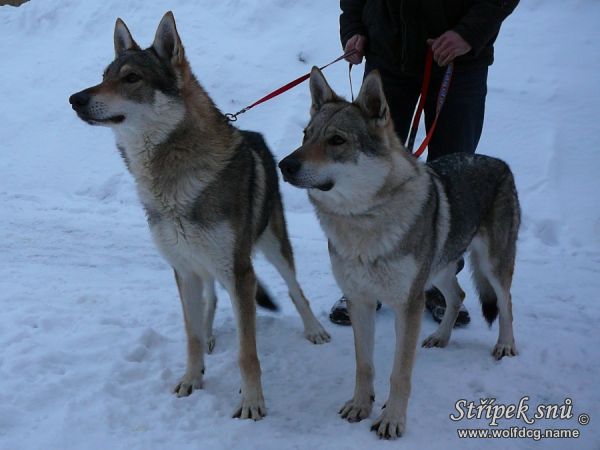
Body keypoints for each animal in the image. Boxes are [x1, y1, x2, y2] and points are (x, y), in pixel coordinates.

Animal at [71, 11, 332, 418]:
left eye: (131, 78)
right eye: (104, 75)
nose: (75, 99)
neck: (168, 183)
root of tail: (255, 133)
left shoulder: (239, 271)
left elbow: (247, 352)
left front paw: (252, 403)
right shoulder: (183, 269)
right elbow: (190, 334)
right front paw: (192, 379)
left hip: (272, 247)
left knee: (294, 290)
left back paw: (314, 329)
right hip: (206, 261)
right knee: (212, 299)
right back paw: (210, 334)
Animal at [278, 68, 516, 438]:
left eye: (337, 141)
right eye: (306, 135)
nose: (284, 165)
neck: (362, 220)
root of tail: (499, 161)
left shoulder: (409, 304)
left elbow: (399, 373)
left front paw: (392, 420)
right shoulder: (360, 301)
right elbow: (364, 365)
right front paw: (360, 406)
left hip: (492, 267)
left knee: (506, 304)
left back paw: (505, 345)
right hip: (440, 268)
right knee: (459, 295)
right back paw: (440, 337)